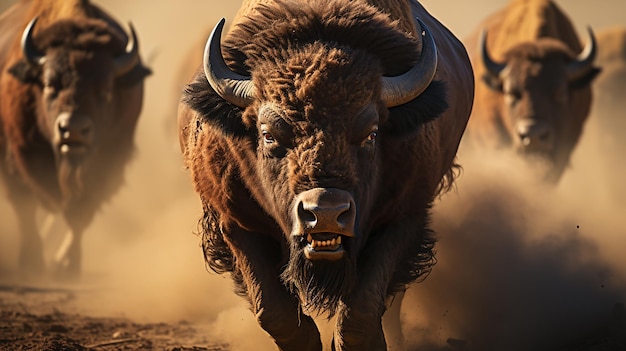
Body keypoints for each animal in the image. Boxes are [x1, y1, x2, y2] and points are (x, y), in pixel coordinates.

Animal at [0, 0, 151, 278]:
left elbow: (80, 213)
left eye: (105, 89)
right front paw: (31, 263)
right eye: (49, 84)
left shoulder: (106, 164)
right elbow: (25, 208)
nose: (74, 129)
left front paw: (67, 264)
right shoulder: (15, 159)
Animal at [178, 0, 470, 350]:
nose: (326, 212)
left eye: (371, 134)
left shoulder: (403, 217)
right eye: (268, 134)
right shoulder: (236, 222)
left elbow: (363, 309)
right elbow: (272, 310)